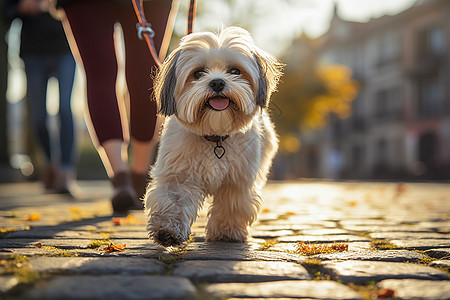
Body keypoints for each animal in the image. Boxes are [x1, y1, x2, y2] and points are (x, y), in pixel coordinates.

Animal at [145, 26, 282, 246]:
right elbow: (174, 202)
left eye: (235, 71)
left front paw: (227, 232)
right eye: (198, 73)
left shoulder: (237, 180)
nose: (217, 82)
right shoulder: (179, 175)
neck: (215, 136)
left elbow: (231, 204)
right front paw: (167, 231)